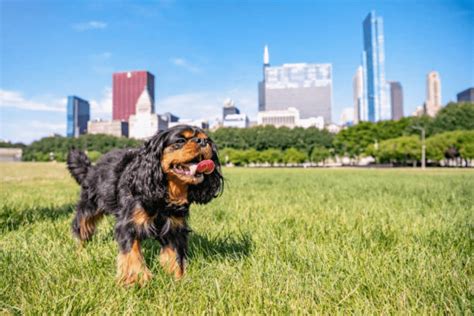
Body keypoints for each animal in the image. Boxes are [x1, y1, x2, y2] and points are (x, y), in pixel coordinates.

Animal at [66, 125, 224, 286]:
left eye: (207, 139)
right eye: (180, 141)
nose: (202, 141)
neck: (164, 192)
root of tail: (92, 168)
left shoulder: (174, 227)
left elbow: (175, 255)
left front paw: (179, 279)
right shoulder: (128, 224)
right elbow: (132, 252)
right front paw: (137, 279)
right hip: (90, 205)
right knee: (81, 226)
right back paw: (80, 251)